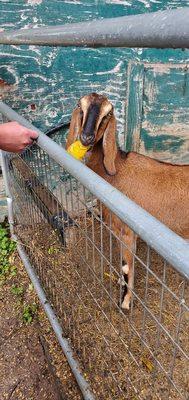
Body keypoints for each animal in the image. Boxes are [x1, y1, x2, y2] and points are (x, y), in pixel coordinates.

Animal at [66, 93, 189, 310]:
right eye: (80, 107)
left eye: (108, 114)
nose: (87, 137)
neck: (116, 170)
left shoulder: (127, 232)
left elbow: (126, 267)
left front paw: (124, 302)